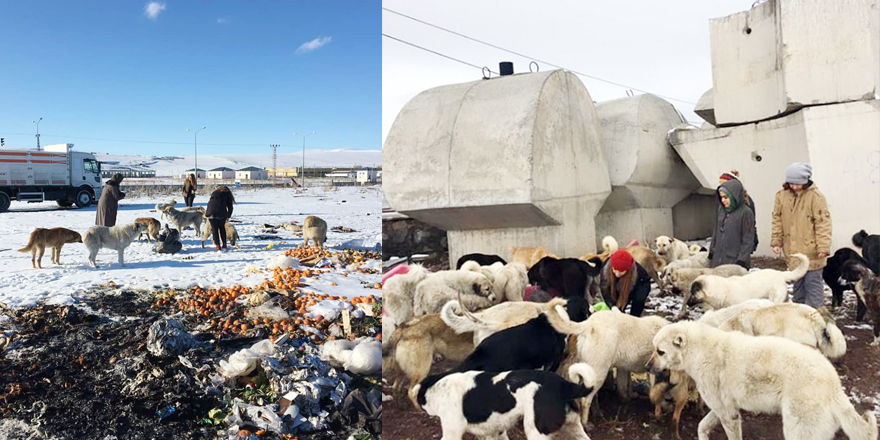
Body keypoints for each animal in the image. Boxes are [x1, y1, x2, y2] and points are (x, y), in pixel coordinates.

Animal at [648, 322, 872, 440]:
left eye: (661, 352)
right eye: (654, 349)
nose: (647, 367)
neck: (699, 350)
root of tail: (834, 386)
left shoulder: (727, 415)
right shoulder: (725, 409)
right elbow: (702, 427)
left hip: (797, 430)